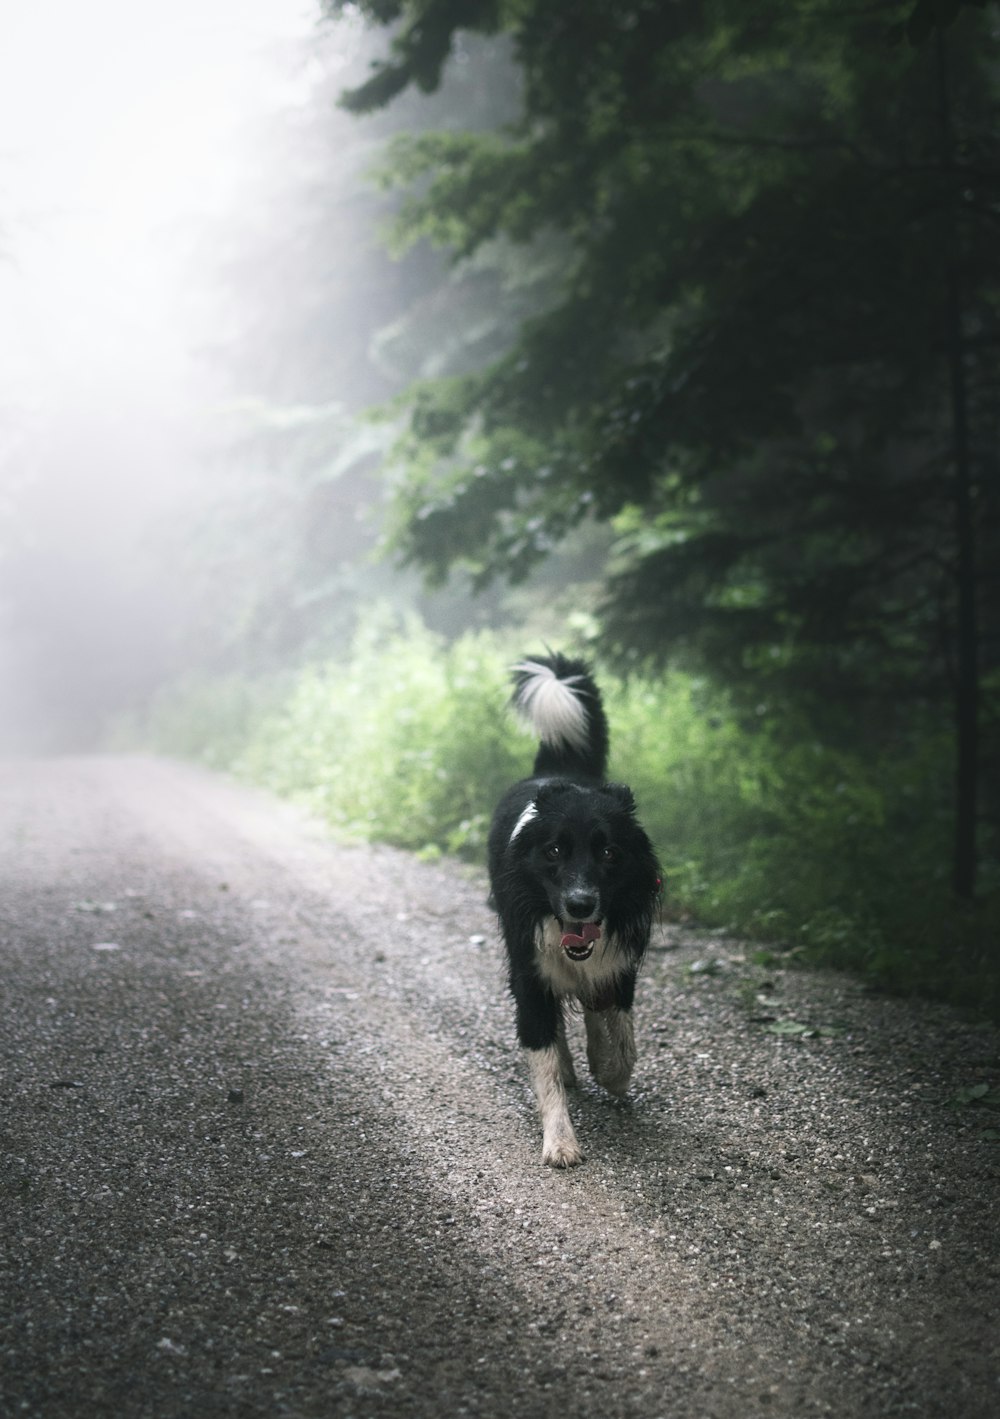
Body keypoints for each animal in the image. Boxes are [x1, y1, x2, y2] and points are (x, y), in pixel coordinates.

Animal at [487, 652, 658, 1163]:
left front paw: (607, 1067)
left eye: (609, 853)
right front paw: (561, 1141)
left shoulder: (618, 966)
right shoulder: (528, 970)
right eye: (555, 851)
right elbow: (543, 1062)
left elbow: (619, 1043)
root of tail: (558, 767)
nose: (580, 906)